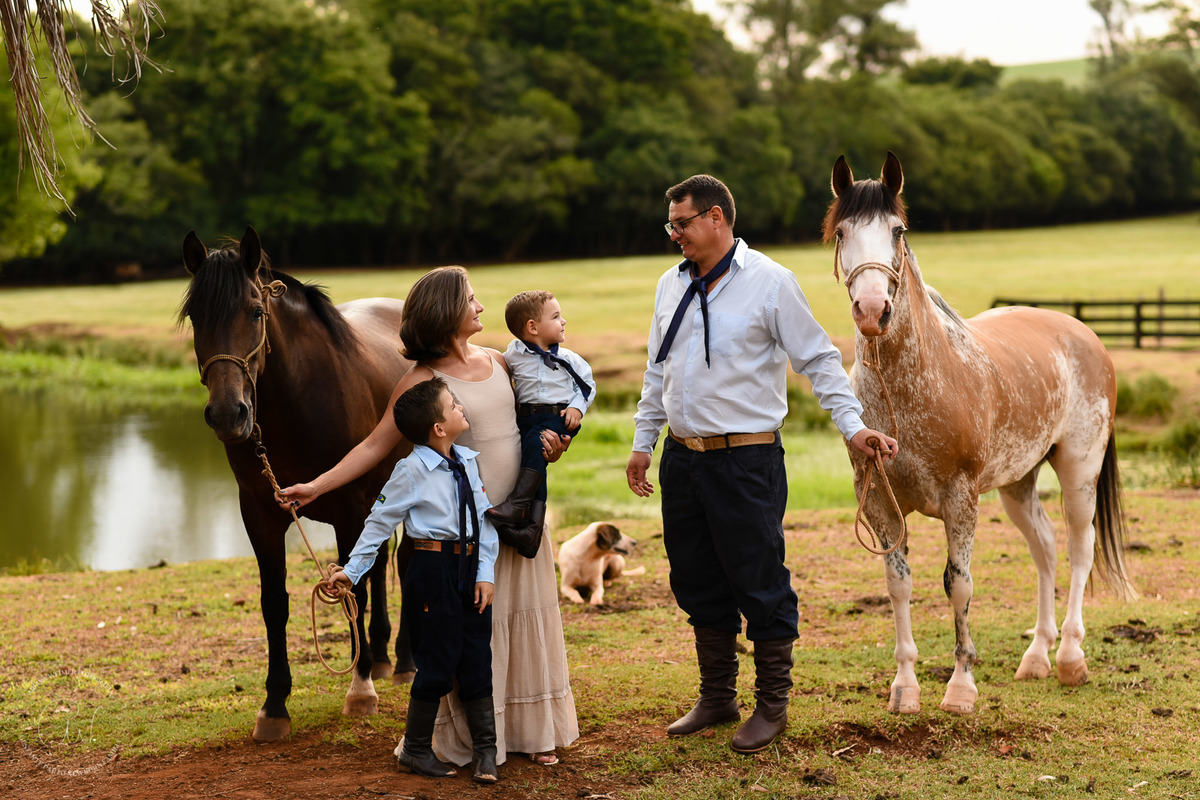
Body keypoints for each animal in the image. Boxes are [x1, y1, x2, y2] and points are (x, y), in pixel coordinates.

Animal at [178, 227, 414, 741]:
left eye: (255, 311)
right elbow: (275, 604)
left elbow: (352, 591)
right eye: (194, 317)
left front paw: (359, 690)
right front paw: (274, 706)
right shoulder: (261, 514)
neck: (299, 401)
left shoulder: (348, 508)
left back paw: (401, 661)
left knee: (401, 561)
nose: (228, 414)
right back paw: (382, 657)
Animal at [824, 152, 1135, 715]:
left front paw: (961, 687)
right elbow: (898, 584)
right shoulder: (879, 501)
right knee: (1046, 548)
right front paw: (904, 688)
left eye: (898, 230)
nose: (873, 311)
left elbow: (959, 586)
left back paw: (1070, 658)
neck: (912, 389)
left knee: (1079, 547)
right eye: (841, 233)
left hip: (1079, 468)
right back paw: (1036, 656)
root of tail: (1083, 332)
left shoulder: (960, 498)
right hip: (1018, 483)